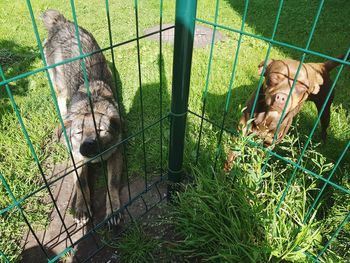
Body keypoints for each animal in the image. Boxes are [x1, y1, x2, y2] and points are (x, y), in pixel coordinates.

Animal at [41, 9, 123, 226]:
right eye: (78, 132)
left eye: (101, 130)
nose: (87, 147)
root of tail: (61, 23)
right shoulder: (76, 159)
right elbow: (81, 183)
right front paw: (81, 208)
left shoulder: (117, 153)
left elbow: (112, 184)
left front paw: (114, 208)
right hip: (58, 81)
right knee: (61, 98)